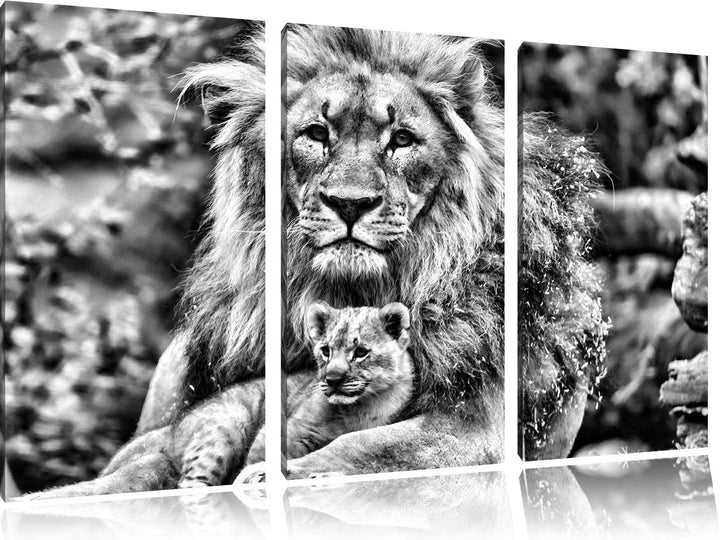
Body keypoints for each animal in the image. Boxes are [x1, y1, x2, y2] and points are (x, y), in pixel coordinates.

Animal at [23, 25, 605, 499]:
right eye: (316, 134)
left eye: (402, 139)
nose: (350, 203)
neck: (349, 290)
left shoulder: (476, 430)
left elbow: (361, 448)